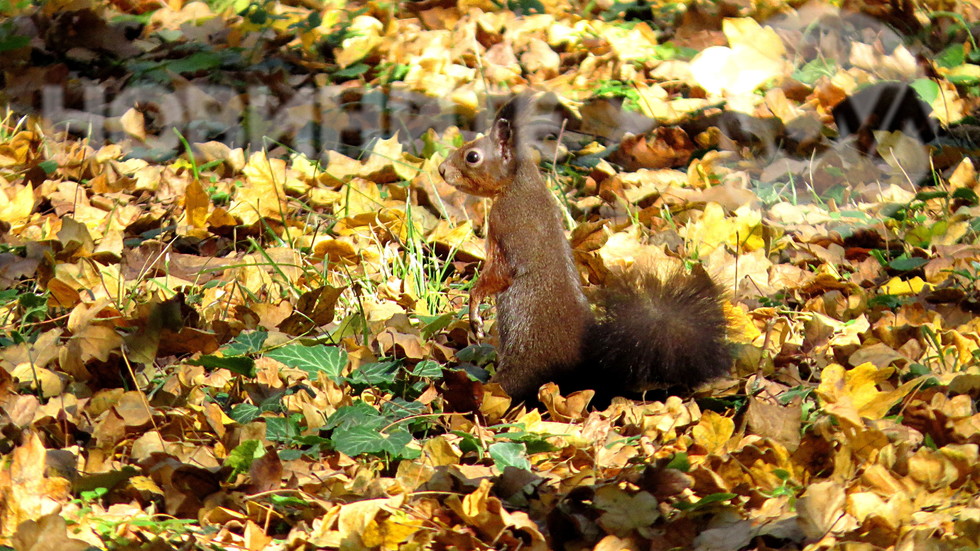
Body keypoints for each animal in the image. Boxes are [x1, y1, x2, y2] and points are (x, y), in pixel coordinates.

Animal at [436, 97, 728, 406]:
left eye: (472, 157)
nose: (441, 170)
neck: (517, 185)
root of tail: (588, 376)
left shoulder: (508, 229)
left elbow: (497, 276)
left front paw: (475, 310)